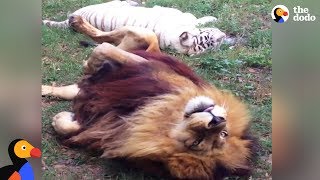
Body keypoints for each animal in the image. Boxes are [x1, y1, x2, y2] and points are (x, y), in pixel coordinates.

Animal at [42, 14, 255, 179]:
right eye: (224, 133)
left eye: (197, 143)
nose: (216, 120)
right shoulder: (144, 66)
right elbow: (102, 49)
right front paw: (90, 65)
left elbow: (69, 124)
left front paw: (63, 118)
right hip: (145, 35)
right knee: (104, 37)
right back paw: (77, 23)